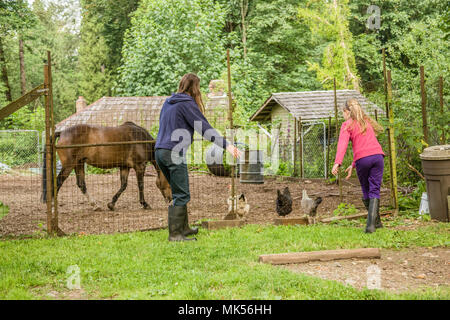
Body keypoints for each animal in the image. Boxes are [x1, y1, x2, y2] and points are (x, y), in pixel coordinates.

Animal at [41, 122, 171, 210]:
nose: (170, 200)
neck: (140, 139)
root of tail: (62, 132)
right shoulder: (140, 166)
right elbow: (140, 185)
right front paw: (144, 204)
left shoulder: (124, 167)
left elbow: (123, 185)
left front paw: (111, 204)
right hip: (69, 166)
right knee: (58, 181)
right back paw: (52, 205)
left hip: (79, 164)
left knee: (81, 184)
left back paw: (95, 205)